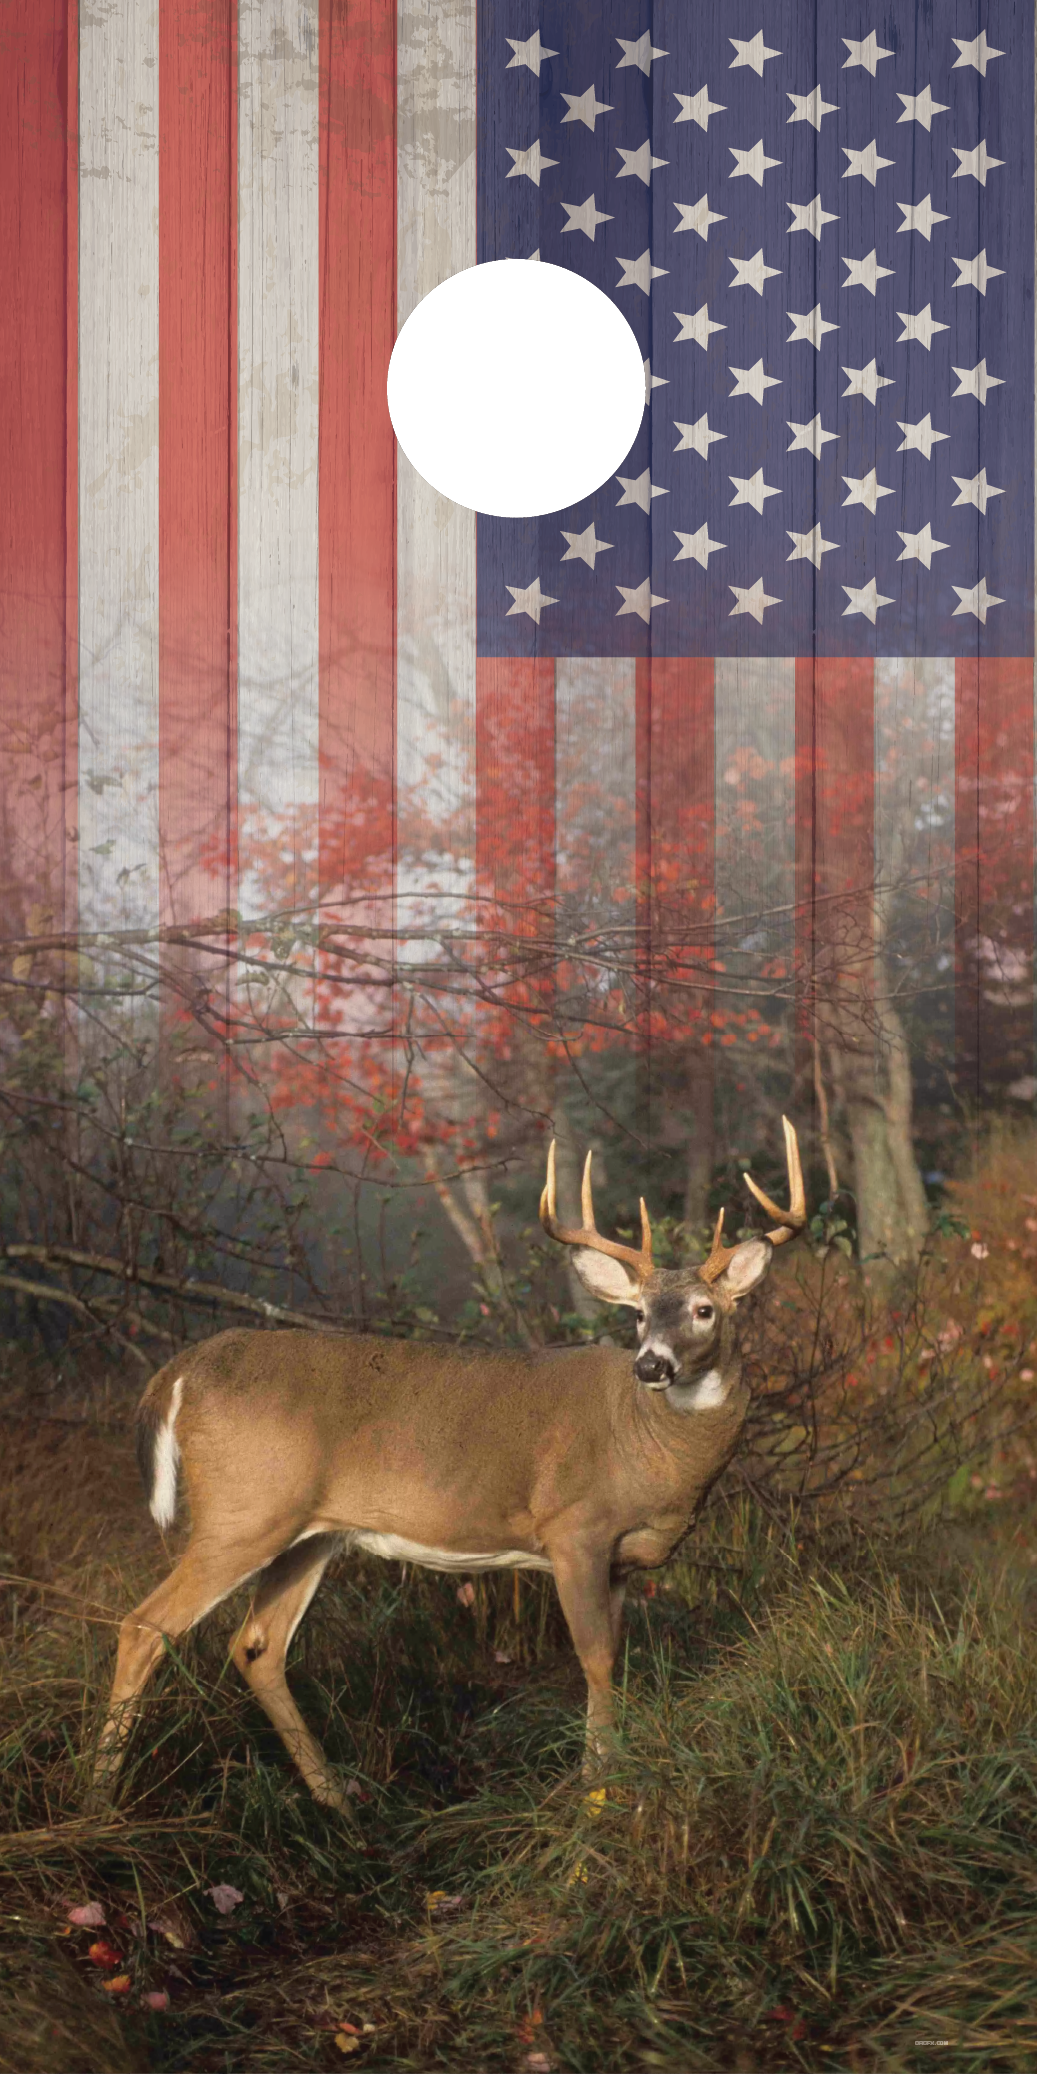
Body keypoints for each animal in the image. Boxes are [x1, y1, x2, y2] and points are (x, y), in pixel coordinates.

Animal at [91, 1118, 806, 1811]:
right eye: (636, 1315)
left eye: (704, 1310)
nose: (652, 1364)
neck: (651, 1449)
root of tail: (183, 1370)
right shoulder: (573, 1529)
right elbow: (596, 1659)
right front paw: (599, 1793)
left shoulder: (621, 1561)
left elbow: (617, 1661)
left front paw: (611, 1773)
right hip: (243, 1511)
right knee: (143, 1626)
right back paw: (96, 1797)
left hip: (309, 1532)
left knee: (257, 1647)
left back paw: (340, 1802)